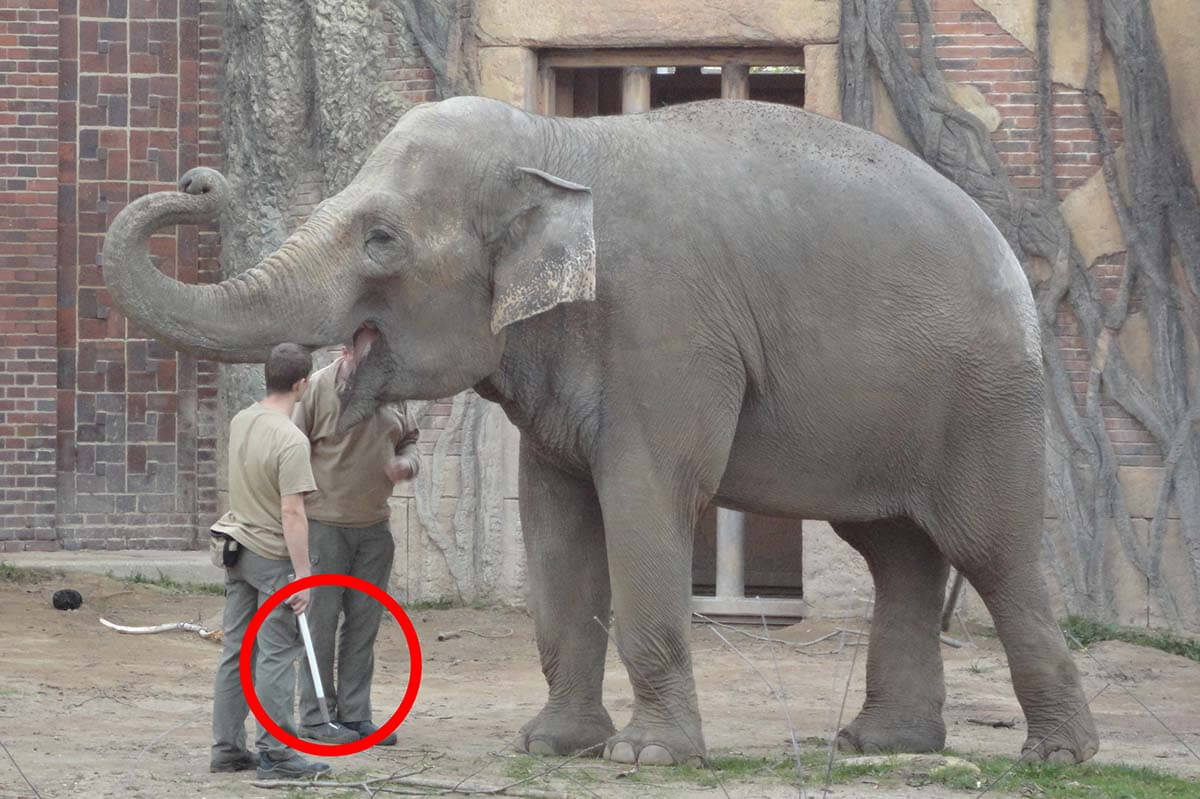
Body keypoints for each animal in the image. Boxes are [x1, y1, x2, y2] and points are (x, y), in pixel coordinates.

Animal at [103, 94, 1099, 767]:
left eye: (381, 239)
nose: (195, 182)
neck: (557, 142)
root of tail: (1009, 253)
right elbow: (556, 520)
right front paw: (553, 745)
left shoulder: (666, 327)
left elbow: (648, 499)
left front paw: (648, 758)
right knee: (896, 552)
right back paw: (881, 744)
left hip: (987, 395)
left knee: (992, 551)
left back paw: (1056, 757)